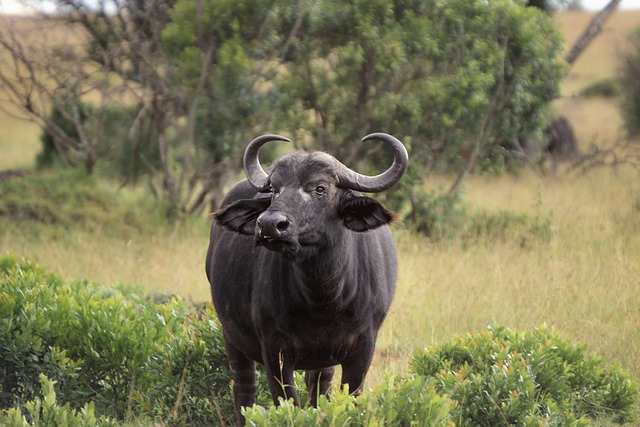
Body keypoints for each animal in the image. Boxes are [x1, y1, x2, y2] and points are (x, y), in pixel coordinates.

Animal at [206, 133, 410, 424]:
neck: (323, 298)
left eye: (320, 189)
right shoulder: (274, 350)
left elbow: (349, 398)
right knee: (244, 391)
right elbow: (287, 401)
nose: (269, 225)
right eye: (273, 189)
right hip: (232, 338)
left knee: (319, 389)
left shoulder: (364, 347)